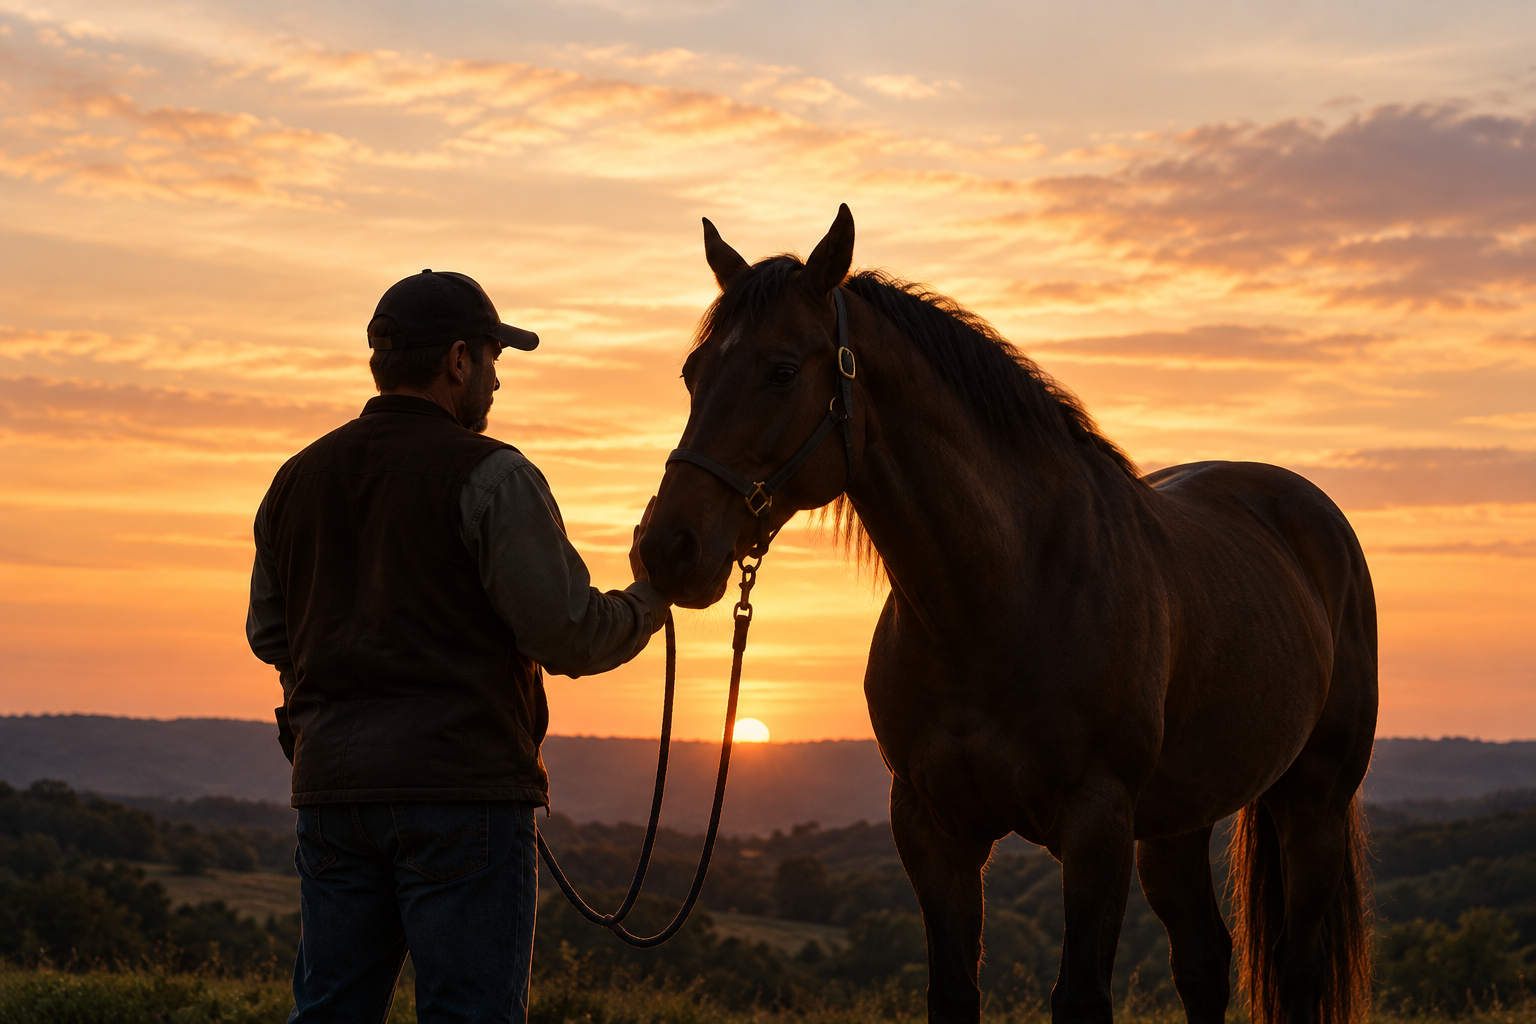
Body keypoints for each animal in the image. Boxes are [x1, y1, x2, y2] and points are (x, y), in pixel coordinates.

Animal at [638, 205, 1378, 1024]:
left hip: (1311, 804)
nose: (667, 548)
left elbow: (1081, 995)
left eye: (780, 370)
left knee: (1297, 966)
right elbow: (955, 990)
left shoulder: (1096, 825)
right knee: (1204, 962)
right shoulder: (934, 829)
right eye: (692, 374)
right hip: (1177, 824)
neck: (999, 603)